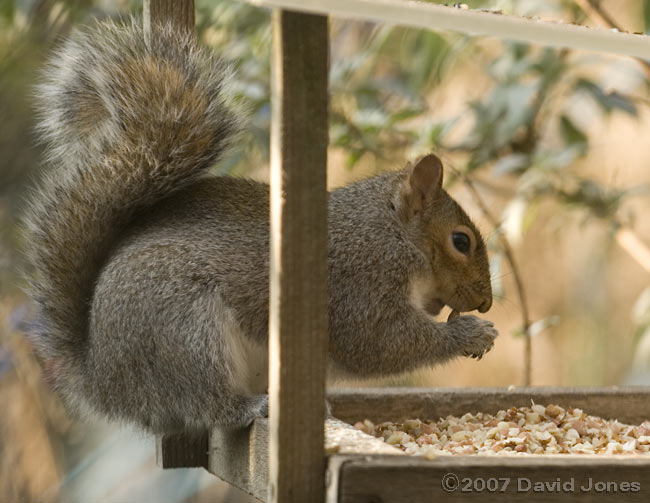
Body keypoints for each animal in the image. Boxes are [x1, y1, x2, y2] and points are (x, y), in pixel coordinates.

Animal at [21, 19, 496, 436]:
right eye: (461, 241)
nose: (487, 303)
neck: (389, 232)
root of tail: (103, 381)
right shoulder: (360, 284)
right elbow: (379, 344)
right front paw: (470, 333)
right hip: (181, 327)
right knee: (209, 404)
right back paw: (251, 407)